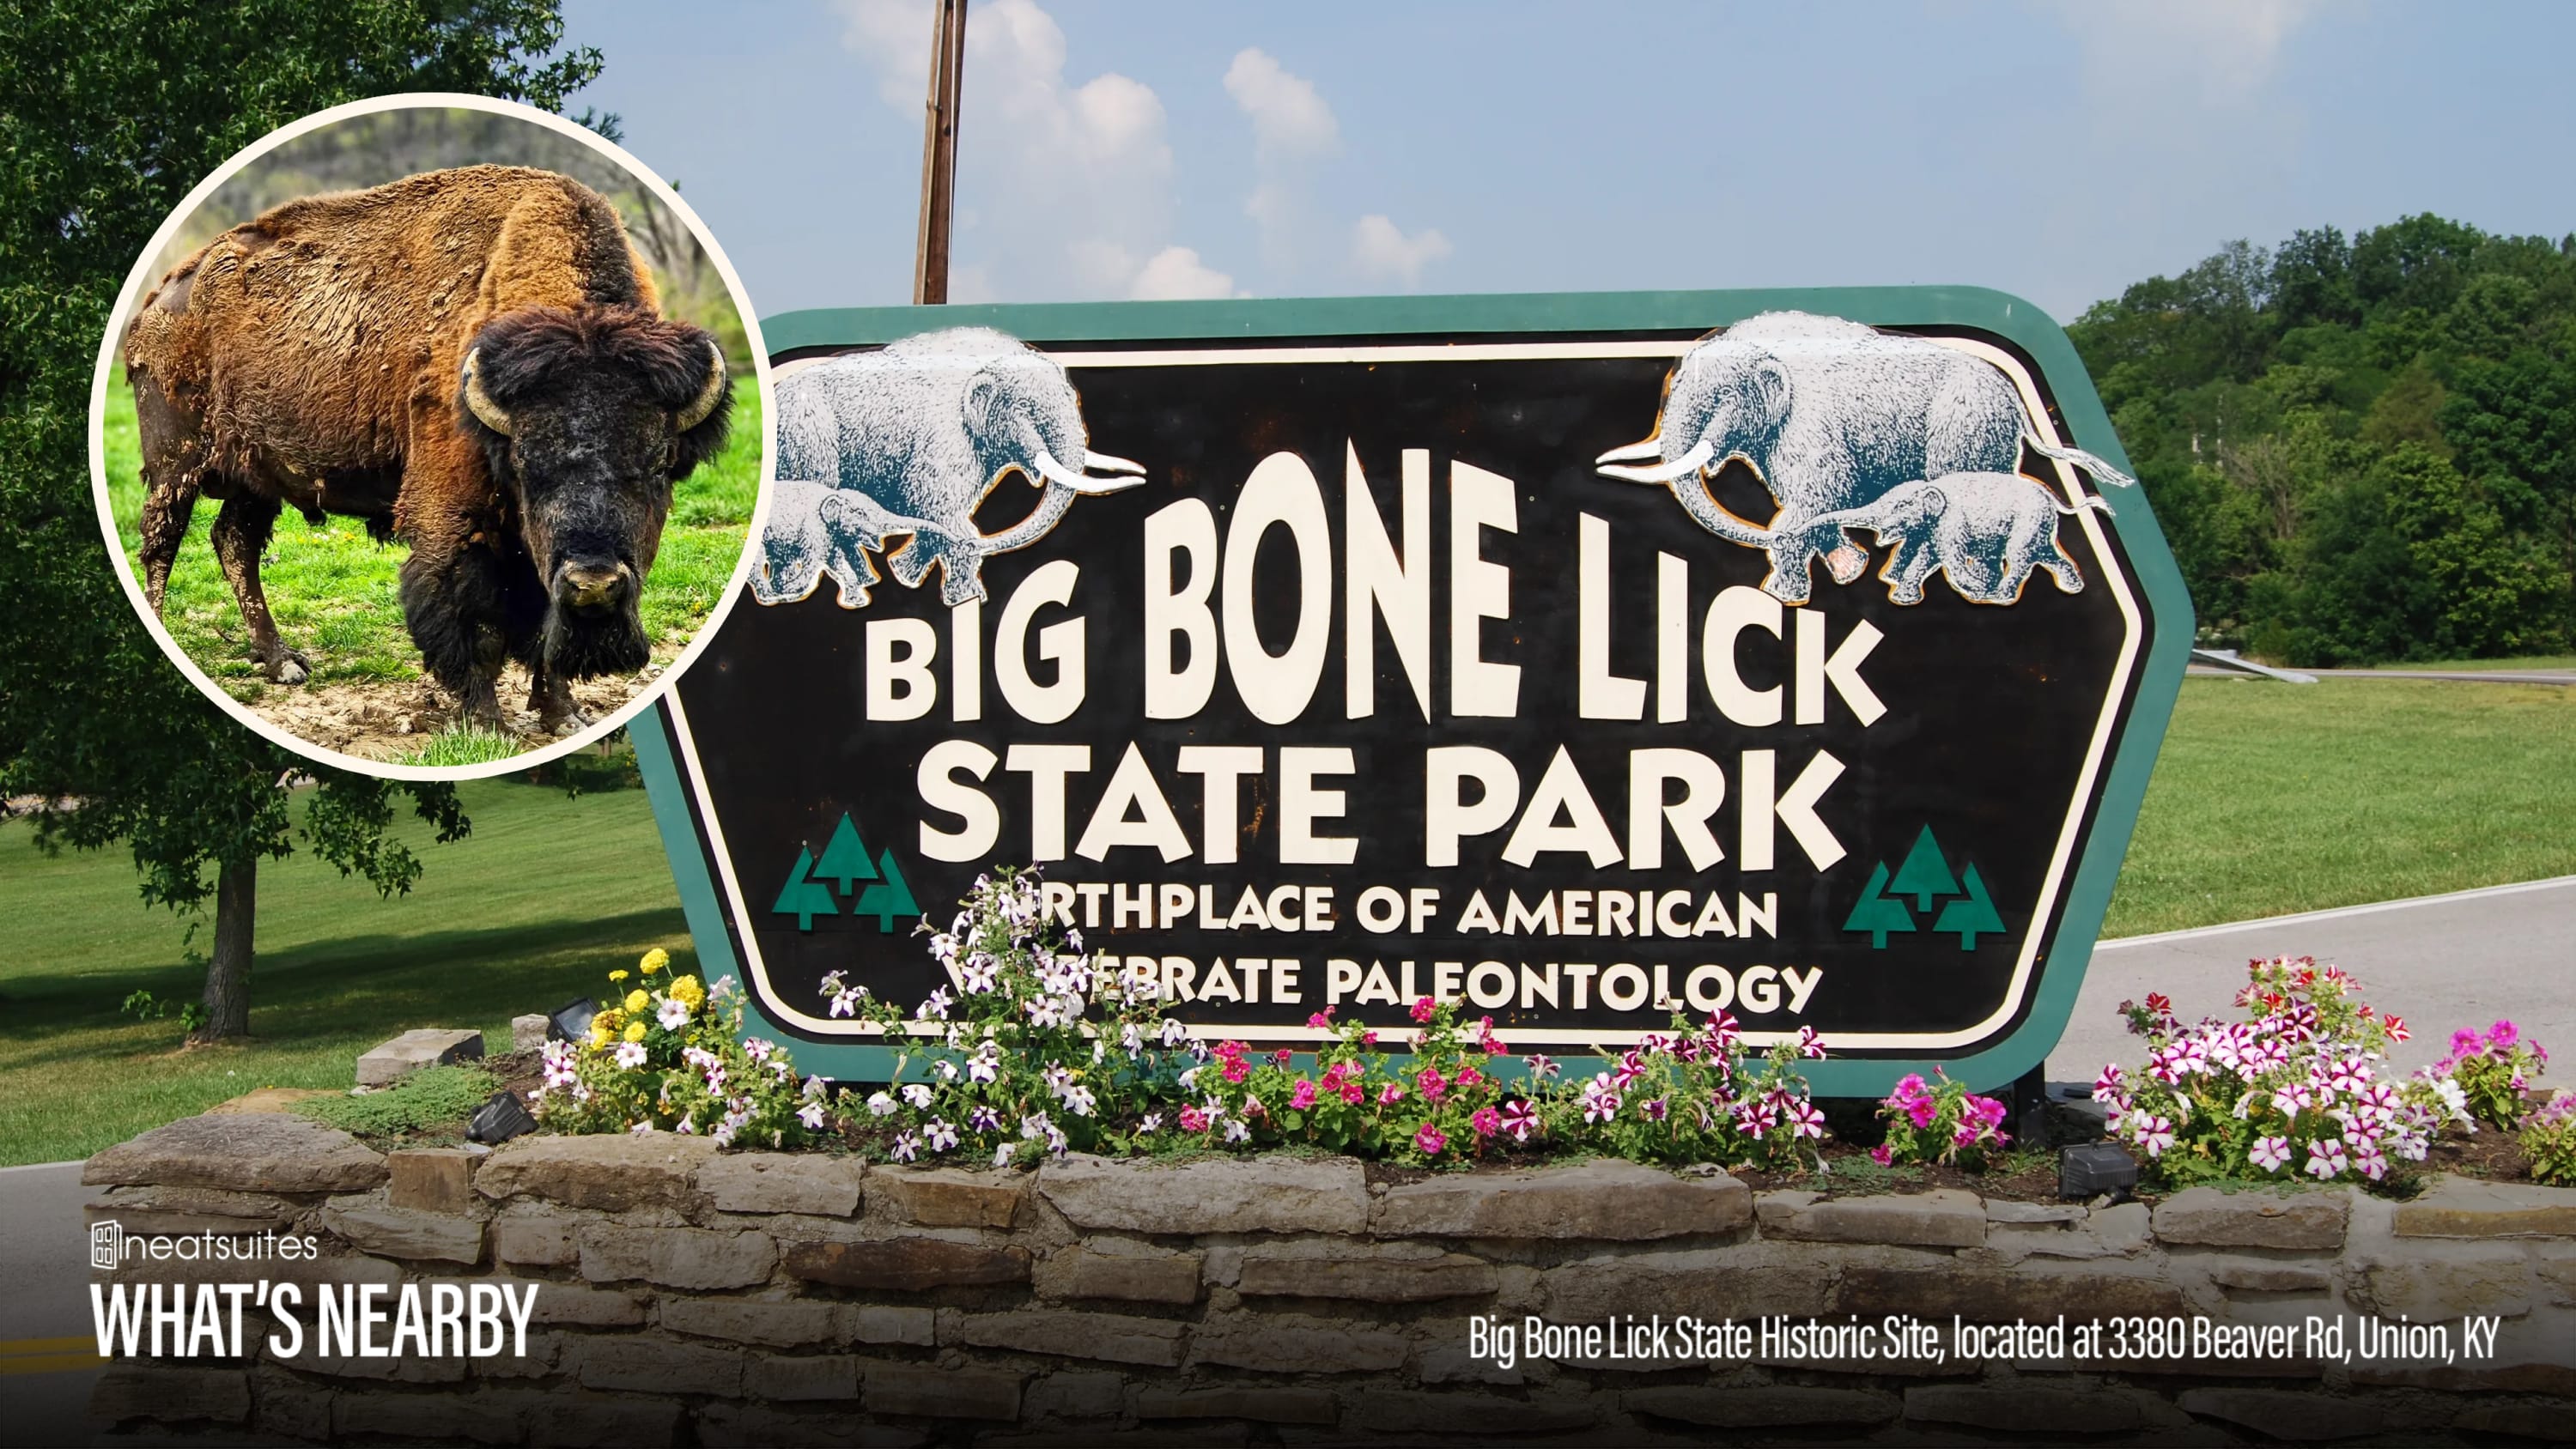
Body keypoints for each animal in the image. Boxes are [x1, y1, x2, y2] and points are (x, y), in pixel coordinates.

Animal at [125, 168, 742, 731]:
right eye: (525, 463)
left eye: (659, 463)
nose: (593, 584)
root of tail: (161, 298)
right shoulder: (454, 518)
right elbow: (475, 618)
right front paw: (486, 721)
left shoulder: (535, 553)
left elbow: (543, 623)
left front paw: (564, 716)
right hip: (176, 465)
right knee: (163, 544)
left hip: (259, 473)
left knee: (235, 542)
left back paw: (282, 663)